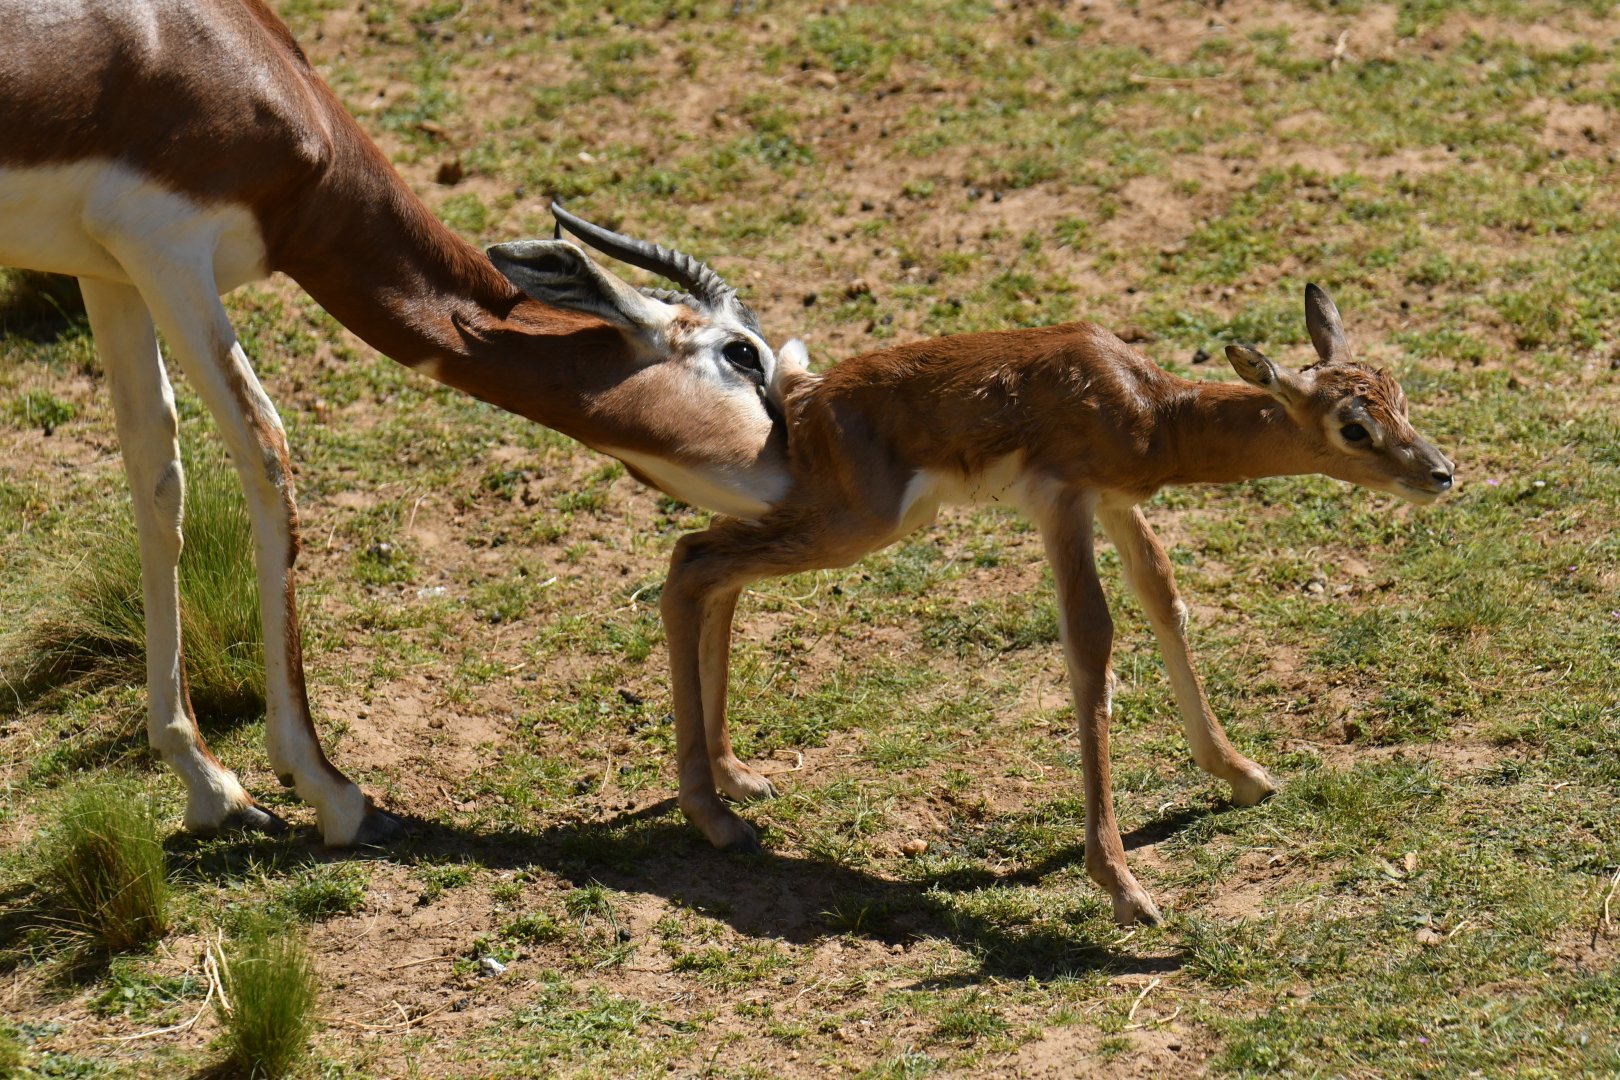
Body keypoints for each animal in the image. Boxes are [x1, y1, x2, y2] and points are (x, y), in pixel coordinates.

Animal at [0, 0, 797, 846]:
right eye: (743, 356)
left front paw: (211, 785)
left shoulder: (110, 266)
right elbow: (267, 452)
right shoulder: (168, 249)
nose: (808, 473)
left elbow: (157, 476)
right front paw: (330, 791)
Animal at [560, 211, 1454, 924]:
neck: (1149, 409)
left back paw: (737, 782)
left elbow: (1164, 598)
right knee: (692, 562)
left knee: (712, 567)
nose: (1441, 473)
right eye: (1353, 427)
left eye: (1399, 394)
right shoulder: (1063, 502)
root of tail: (802, 396)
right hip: (853, 527)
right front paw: (1125, 888)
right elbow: (1090, 645)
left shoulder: (1114, 501)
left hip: (824, 519)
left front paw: (1245, 775)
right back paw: (714, 818)